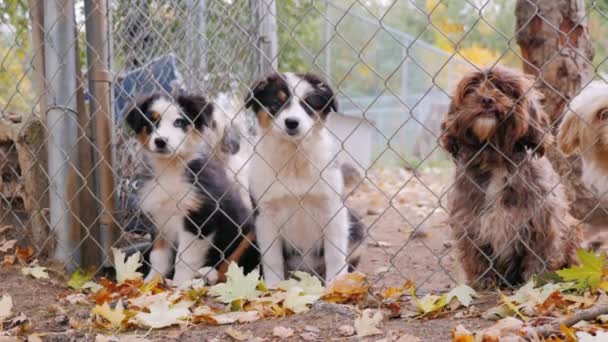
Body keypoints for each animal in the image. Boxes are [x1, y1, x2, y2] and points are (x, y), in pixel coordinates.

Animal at [126, 92, 258, 284]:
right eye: (151, 121)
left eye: (179, 122)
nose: (160, 141)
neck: (170, 168)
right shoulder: (159, 219)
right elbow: (158, 257)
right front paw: (150, 283)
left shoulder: (199, 219)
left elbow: (184, 259)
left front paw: (179, 285)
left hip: (251, 233)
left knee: (234, 268)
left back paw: (208, 274)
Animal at [245, 72, 364, 286]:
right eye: (276, 103)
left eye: (308, 104)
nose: (292, 123)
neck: (294, 159)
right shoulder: (265, 216)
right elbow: (272, 259)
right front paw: (273, 288)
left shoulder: (333, 209)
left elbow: (335, 255)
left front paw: (335, 287)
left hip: (357, 227)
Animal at [442, 66, 580, 288]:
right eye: (471, 89)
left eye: (504, 88)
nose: (486, 99)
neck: (495, 158)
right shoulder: (469, 224)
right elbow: (477, 261)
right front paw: (483, 285)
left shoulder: (542, 222)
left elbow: (539, 258)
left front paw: (536, 284)